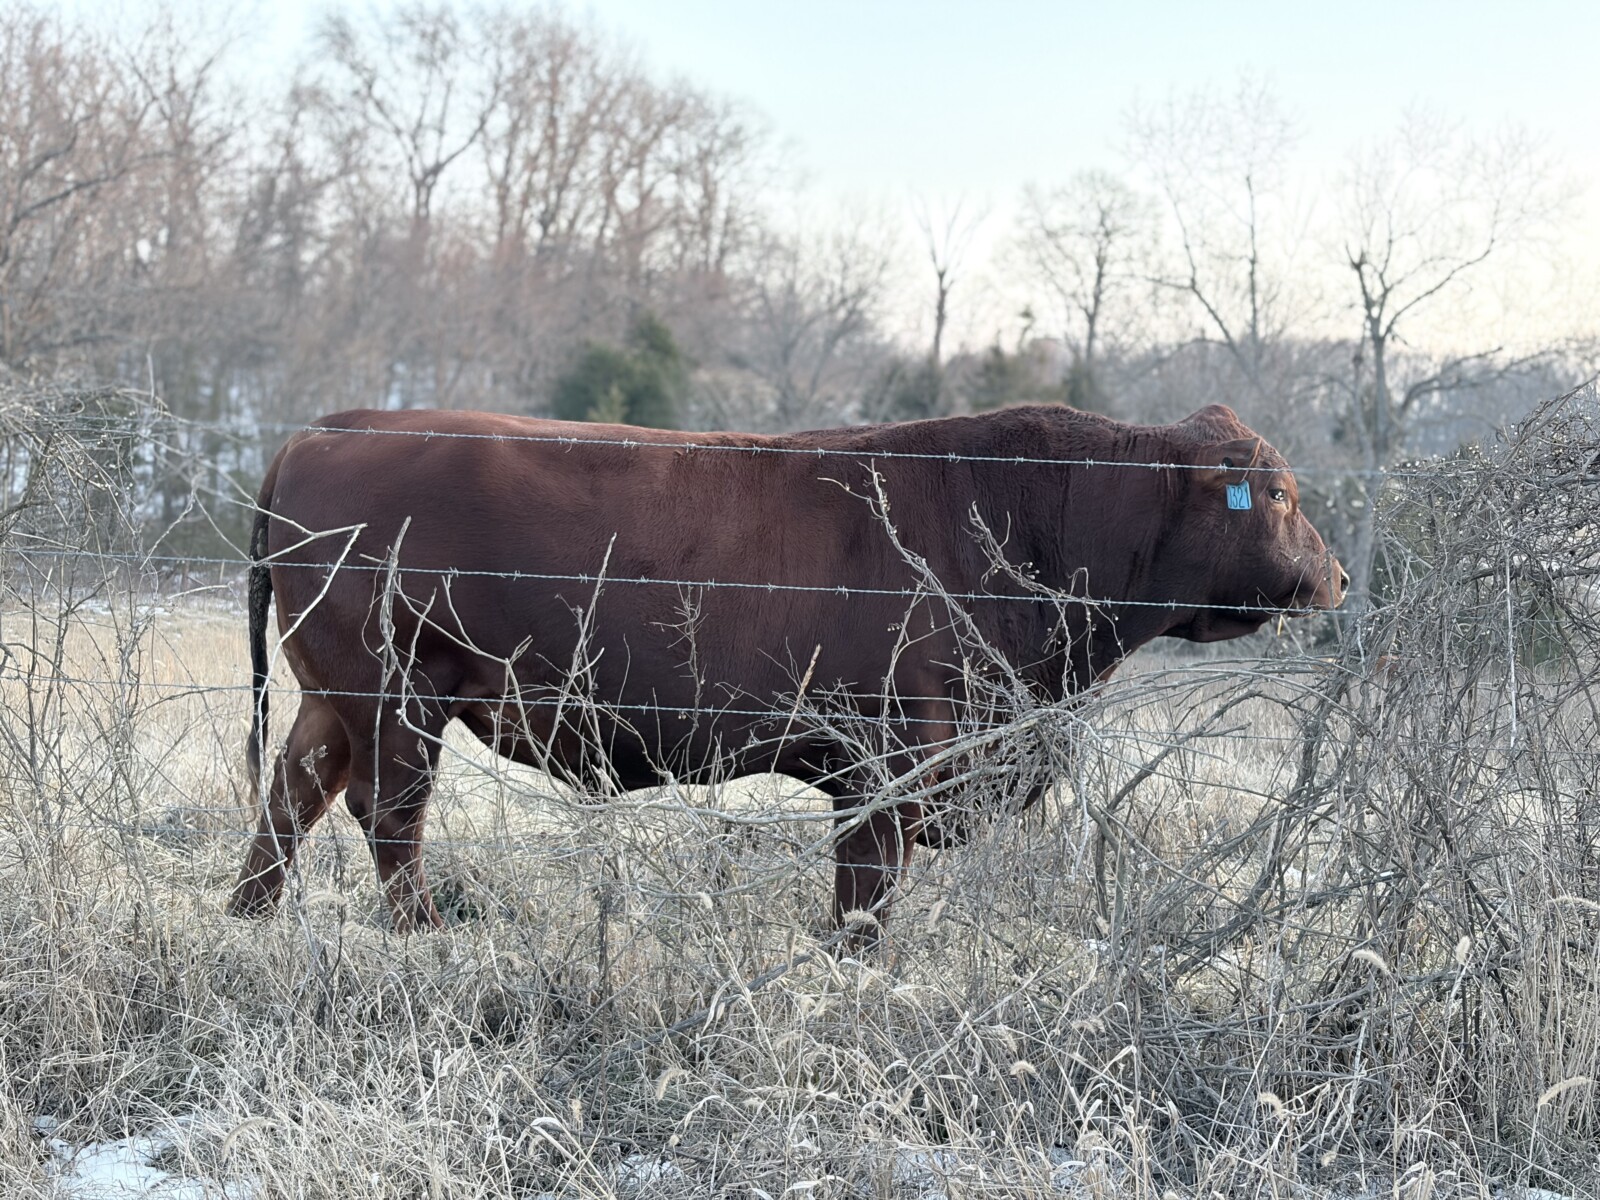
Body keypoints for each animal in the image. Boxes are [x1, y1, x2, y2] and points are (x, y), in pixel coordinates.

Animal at [227, 403, 1345, 941]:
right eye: (1280, 493)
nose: (1336, 576)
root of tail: (329, 429)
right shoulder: (886, 764)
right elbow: (866, 889)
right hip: (395, 697)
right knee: (386, 815)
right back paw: (424, 934)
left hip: (332, 700)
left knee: (291, 796)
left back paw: (247, 918)